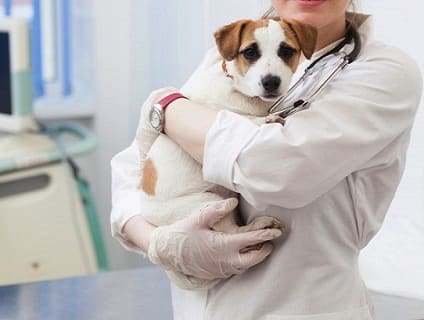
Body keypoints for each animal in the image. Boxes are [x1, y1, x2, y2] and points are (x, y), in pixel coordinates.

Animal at [137, 17, 316, 290]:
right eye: (250, 52)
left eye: (286, 50)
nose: (271, 81)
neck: (240, 92)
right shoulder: (216, 115)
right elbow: (239, 118)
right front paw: (266, 119)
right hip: (207, 202)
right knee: (229, 234)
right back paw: (259, 227)